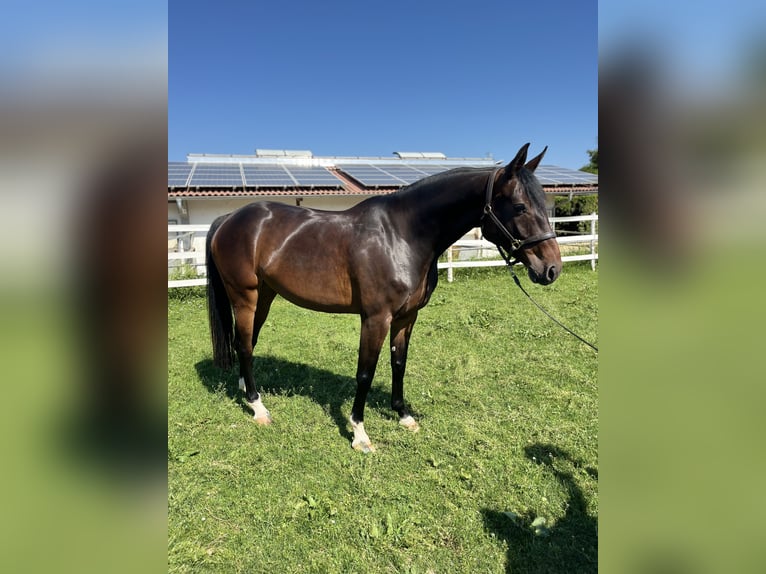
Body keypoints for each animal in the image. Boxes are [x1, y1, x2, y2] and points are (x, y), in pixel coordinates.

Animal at [205, 143, 561, 452]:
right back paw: (258, 407)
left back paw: (246, 391)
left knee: (245, 341)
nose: (551, 268)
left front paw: (403, 416)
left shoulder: (406, 317)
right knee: (245, 345)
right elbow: (365, 372)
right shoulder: (376, 318)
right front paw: (360, 434)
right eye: (520, 207)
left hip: (265, 296)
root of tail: (228, 219)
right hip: (245, 297)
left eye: (544, 204)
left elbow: (398, 364)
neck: (402, 235)